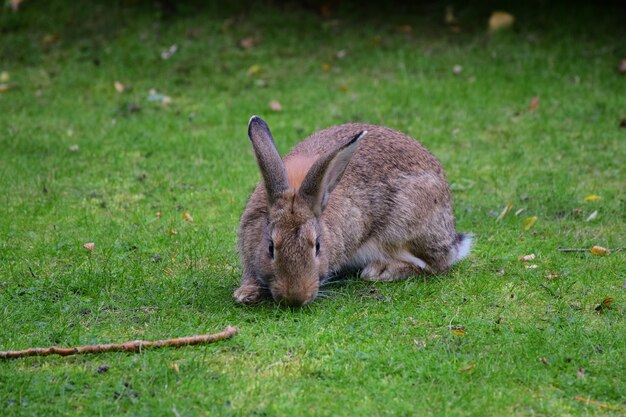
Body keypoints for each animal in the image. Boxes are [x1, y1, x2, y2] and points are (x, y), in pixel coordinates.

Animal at [233, 116, 468, 306]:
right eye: (270, 247)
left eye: (317, 247)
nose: (295, 298)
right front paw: (245, 293)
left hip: (405, 229)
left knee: (437, 266)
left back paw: (380, 271)